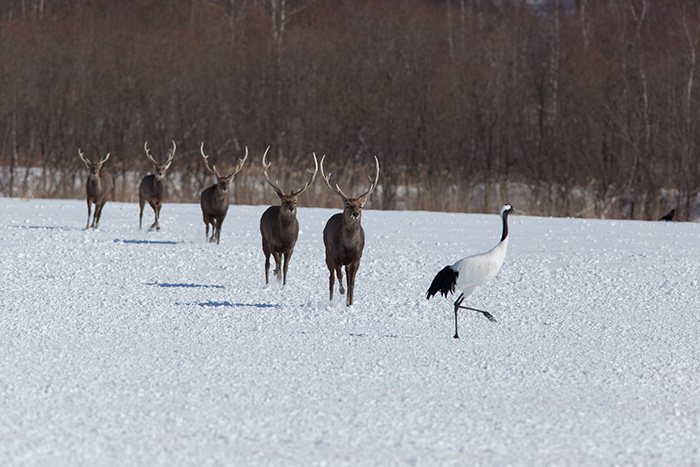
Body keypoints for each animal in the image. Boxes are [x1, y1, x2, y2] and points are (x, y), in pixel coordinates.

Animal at [260, 148, 320, 288]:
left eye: (295, 201)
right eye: (284, 201)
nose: (291, 208)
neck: (285, 237)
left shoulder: (291, 247)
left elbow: (286, 266)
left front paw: (284, 284)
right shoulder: (272, 243)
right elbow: (277, 262)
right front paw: (276, 273)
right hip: (264, 239)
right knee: (267, 262)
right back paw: (267, 282)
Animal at [320, 154, 380, 308]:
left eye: (360, 206)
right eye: (347, 205)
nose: (355, 214)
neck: (349, 246)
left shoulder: (356, 259)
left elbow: (352, 283)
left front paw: (350, 303)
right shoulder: (335, 257)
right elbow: (339, 277)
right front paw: (341, 292)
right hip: (327, 253)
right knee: (331, 278)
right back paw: (331, 301)